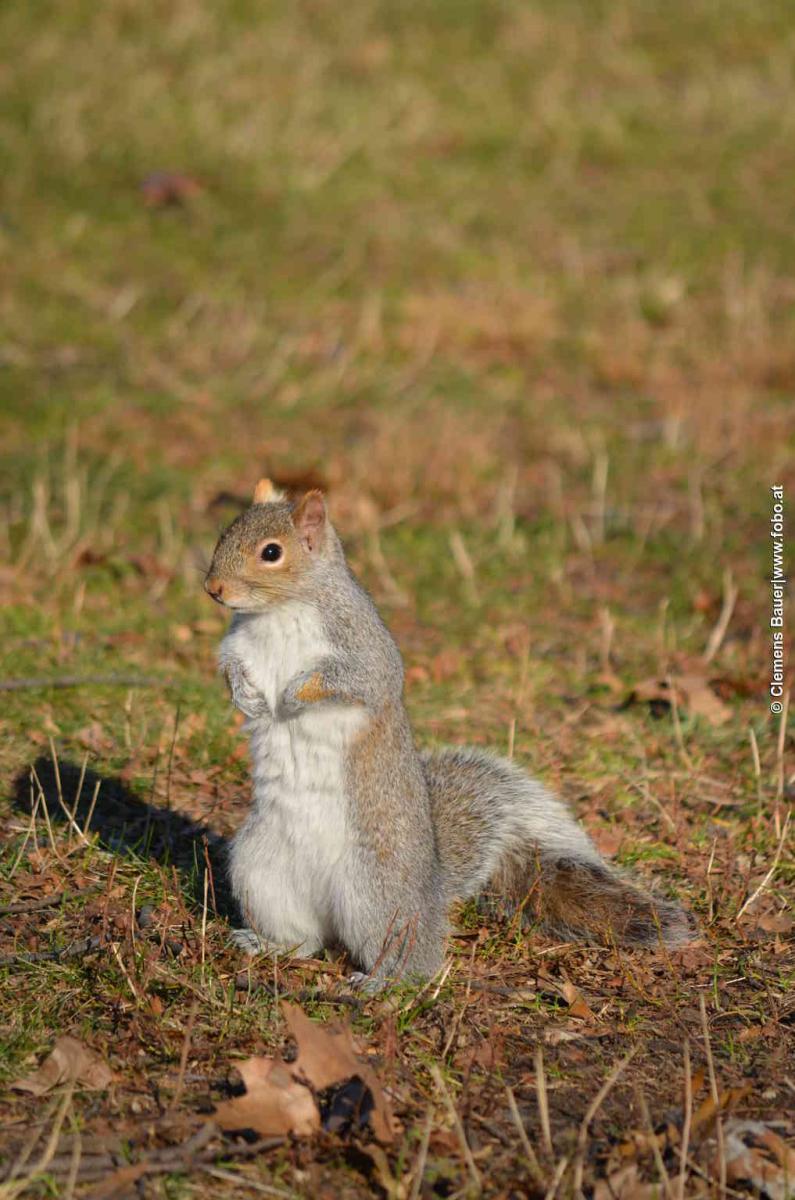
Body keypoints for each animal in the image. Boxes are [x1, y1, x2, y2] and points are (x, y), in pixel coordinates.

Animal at [204, 479, 693, 987]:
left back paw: (380, 982)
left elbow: (353, 681)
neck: (279, 610)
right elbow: (230, 666)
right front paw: (246, 697)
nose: (213, 589)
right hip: (262, 875)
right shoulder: (238, 643)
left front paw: (294, 694)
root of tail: (433, 887)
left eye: (272, 552)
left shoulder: (362, 649)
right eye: (224, 533)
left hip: (377, 894)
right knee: (306, 941)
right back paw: (266, 944)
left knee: (409, 956)